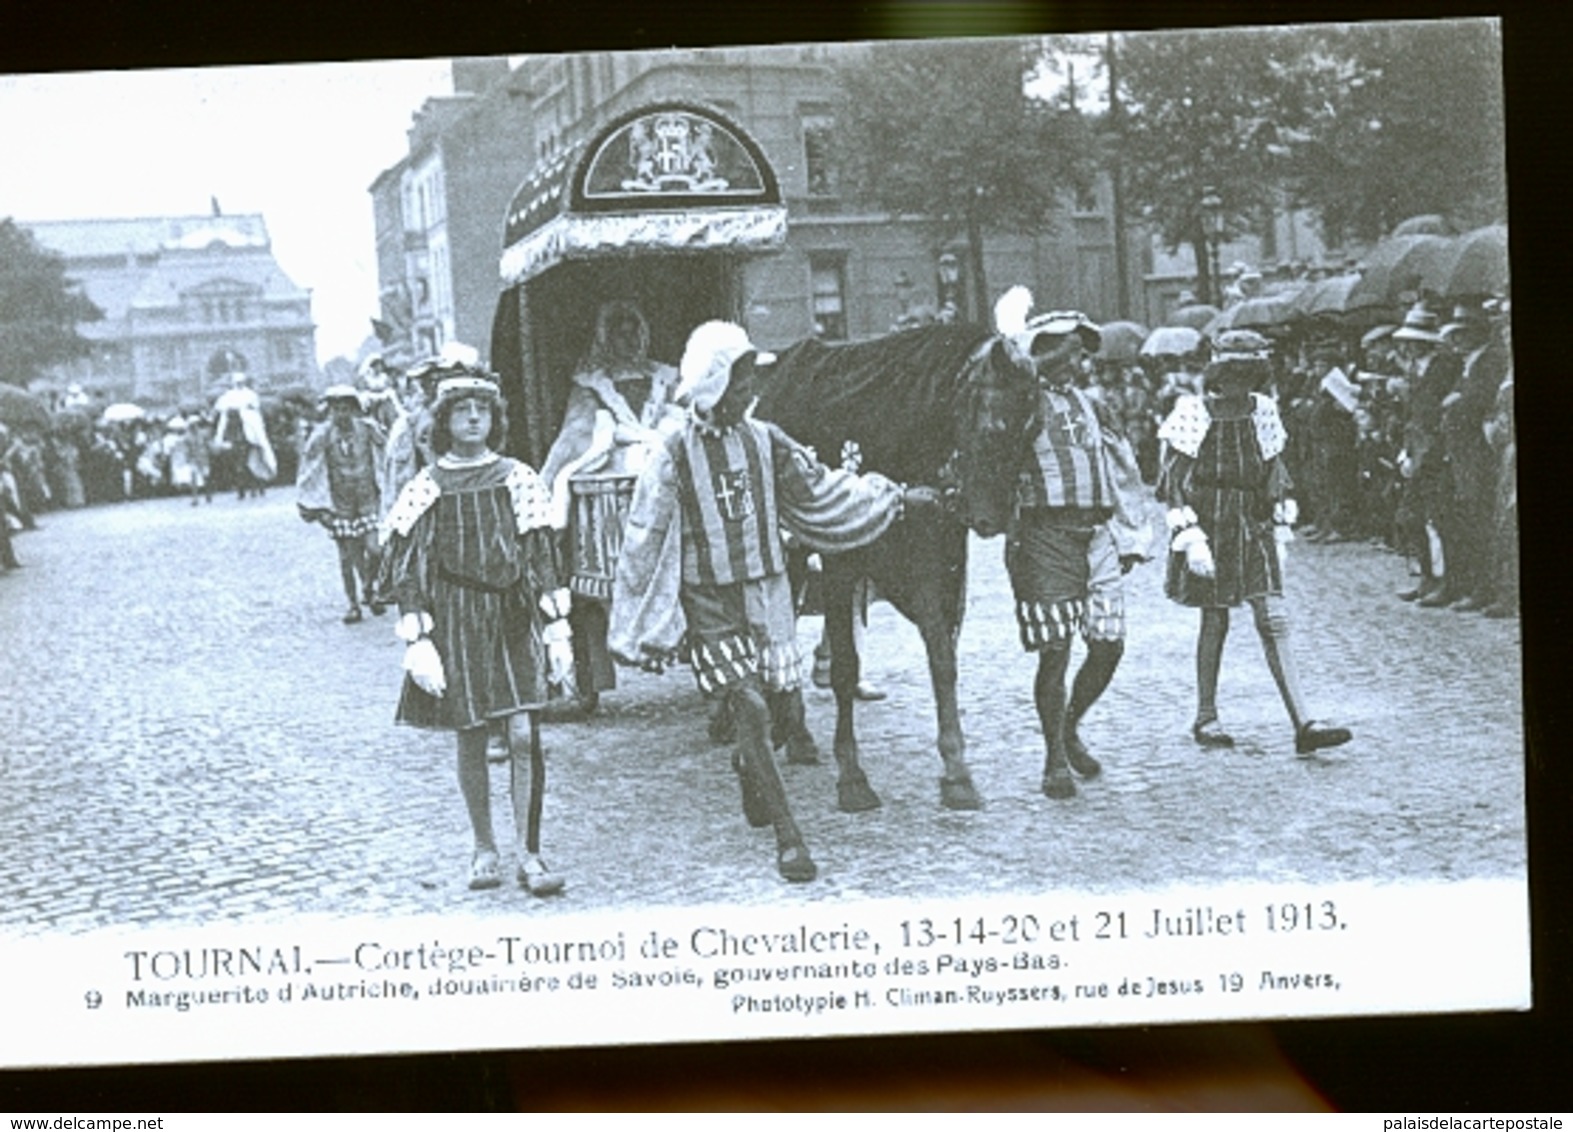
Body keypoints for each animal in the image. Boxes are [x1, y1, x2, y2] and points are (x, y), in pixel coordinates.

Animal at [751, 322, 1044, 811]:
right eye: (993, 427)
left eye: (1033, 430)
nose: (991, 519)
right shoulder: (840, 563)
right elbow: (846, 666)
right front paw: (851, 773)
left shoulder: (935, 558)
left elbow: (942, 657)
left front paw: (956, 770)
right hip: (788, 551)